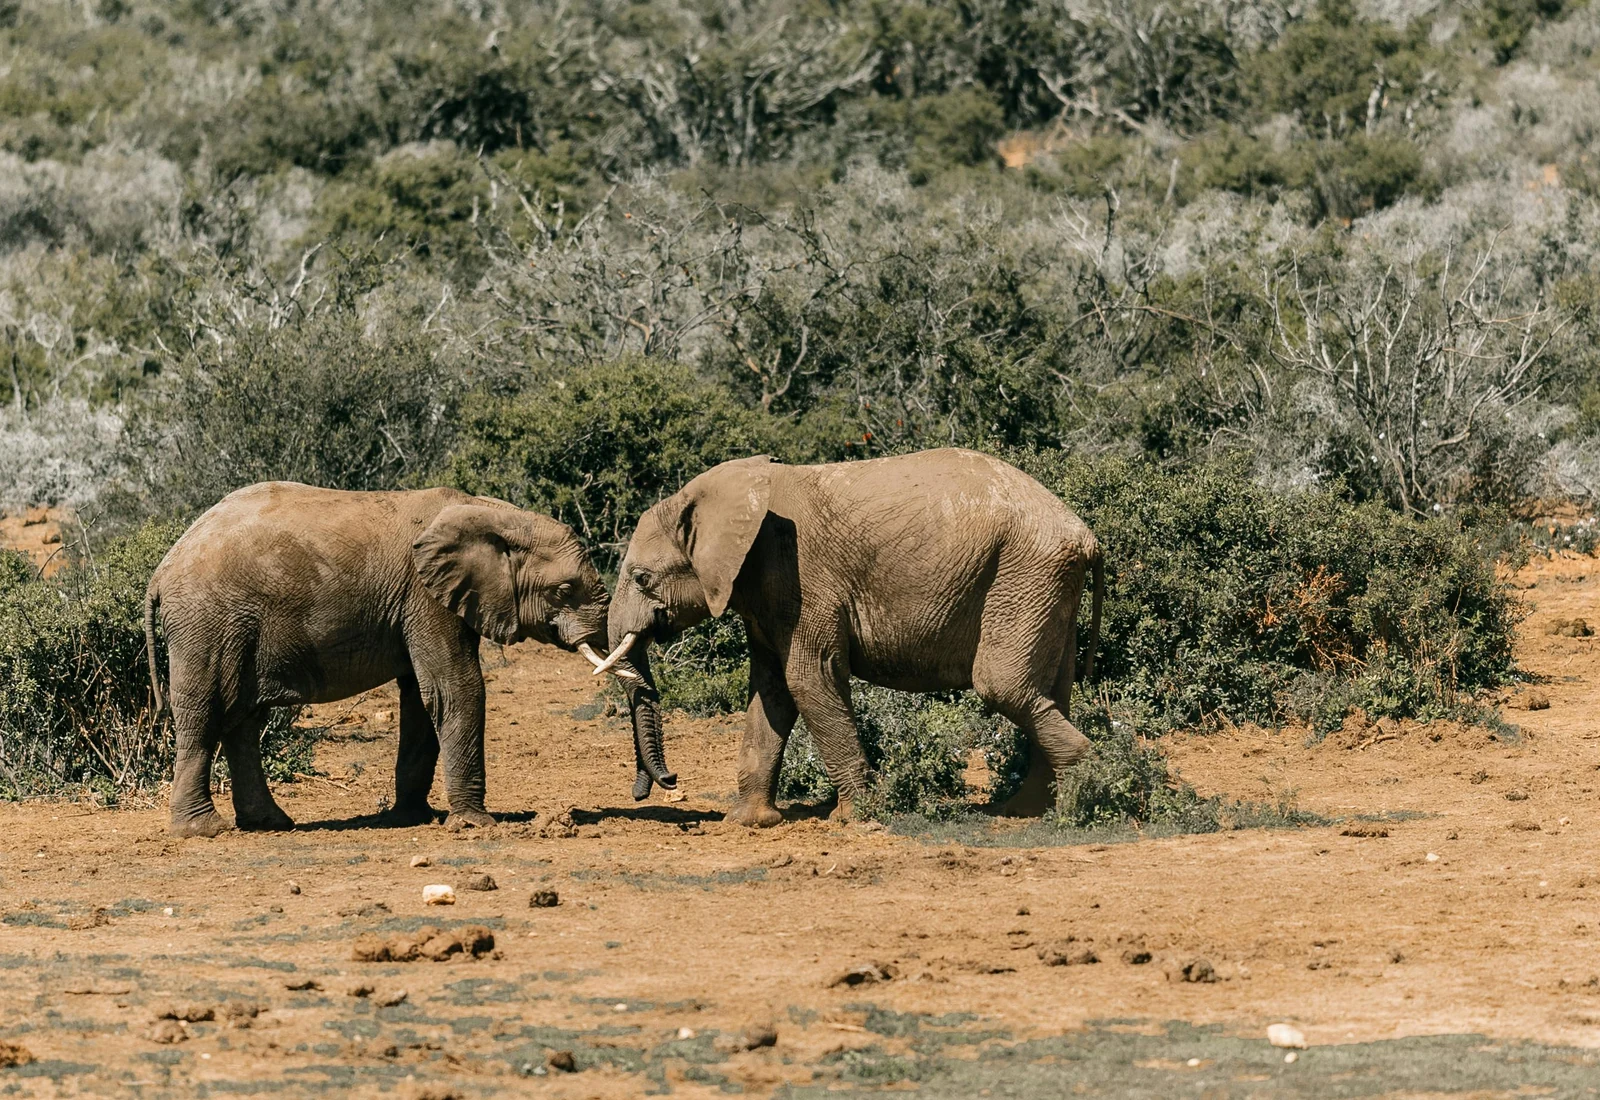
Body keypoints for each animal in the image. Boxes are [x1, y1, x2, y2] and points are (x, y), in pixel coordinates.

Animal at [144, 482, 622, 838]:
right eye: (564, 589)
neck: (491, 513)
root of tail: (161, 571)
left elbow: (422, 699)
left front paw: (414, 818)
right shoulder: (425, 597)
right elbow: (455, 688)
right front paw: (474, 824)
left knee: (243, 720)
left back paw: (271, 823)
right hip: (208, 622)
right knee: (207, 713)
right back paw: (204, 830)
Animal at [593, 448, 1103, 825]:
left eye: (641, 578)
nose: (668, 782)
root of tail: (1087, 535)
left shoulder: (801, 578)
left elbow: (808, 680)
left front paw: (857, 817)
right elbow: (771, 691)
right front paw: (748, 823)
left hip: (1023, 574)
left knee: (1004, 686)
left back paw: (1082, 795)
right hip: (1045, 585)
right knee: (1050, 691)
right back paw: (1027, 810)